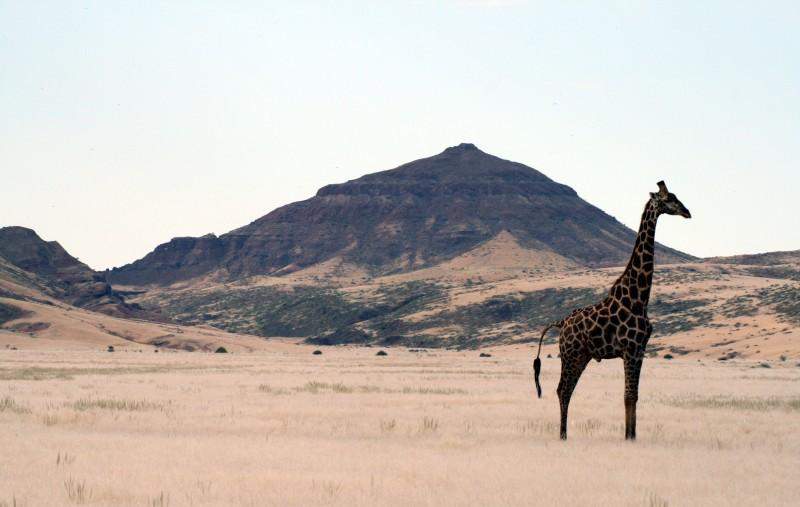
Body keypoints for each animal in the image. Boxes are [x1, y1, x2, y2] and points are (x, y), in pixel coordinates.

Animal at [532, 183, 692, 440]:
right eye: (668, 199)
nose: (687, 212)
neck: (640, 298)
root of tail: (561, 323)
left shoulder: (640, 350)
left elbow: (634, 396)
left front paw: (632, 436)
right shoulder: (630, 348)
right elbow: (628, 395)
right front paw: (628, 437)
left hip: (582, 356)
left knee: (565, 389)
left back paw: (564, 434)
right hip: (570, 354)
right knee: (563, 390)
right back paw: (563, 436)